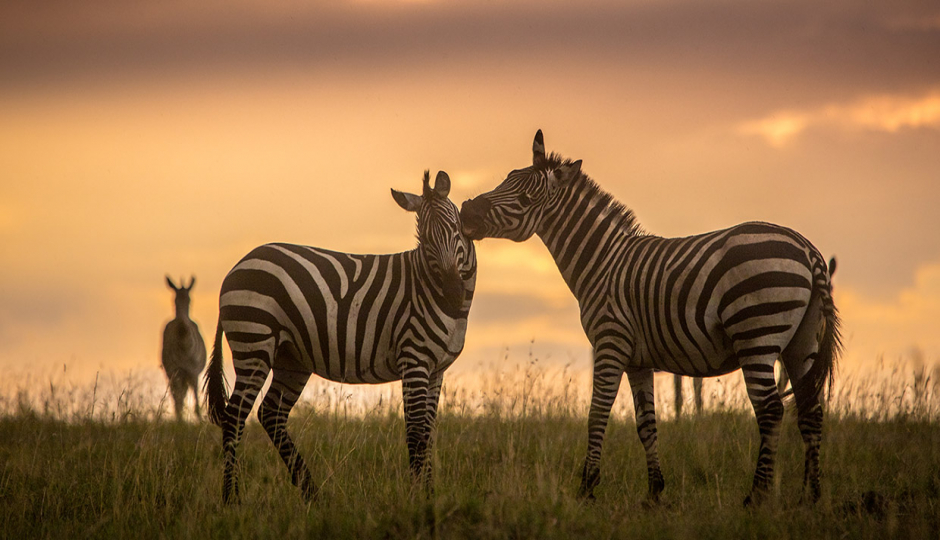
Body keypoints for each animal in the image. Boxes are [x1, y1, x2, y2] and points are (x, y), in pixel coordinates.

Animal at [161, 278, 207, 422]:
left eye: (189, 300)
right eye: (174, 300)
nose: (182, 325)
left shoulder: (193, 371)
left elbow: (195, 400)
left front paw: (199, 420)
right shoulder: (175, 370)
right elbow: (179, 399)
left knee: (182, 394)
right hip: (172, 373)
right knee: (177, 396)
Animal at [202, 171, 474, 504]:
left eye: (456, 229)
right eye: (423, 241)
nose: (453, 293)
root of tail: (237, 266)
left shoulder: (436, 369)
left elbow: (428, 432)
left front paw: (429, 494)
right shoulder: (414, 360)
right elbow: (416, 433)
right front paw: (418, 499)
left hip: (291, 359)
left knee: (271, 414)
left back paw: (312, 492)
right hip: (254, 342)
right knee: (235, 417)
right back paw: (232, 499)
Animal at [462, 131, 844, 506]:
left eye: (525, 197)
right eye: (506, 179)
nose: (466, 210)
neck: (603, 261)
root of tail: (808, 250)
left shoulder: (610, 342)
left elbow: (597, 413)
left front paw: (587, 488)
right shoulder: (638, 360)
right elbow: (647, 423)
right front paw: (655, 492)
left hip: (757, 332)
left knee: (771, 410)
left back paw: (758, 495)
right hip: (801, 342)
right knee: (810, 410)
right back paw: (811, 495)